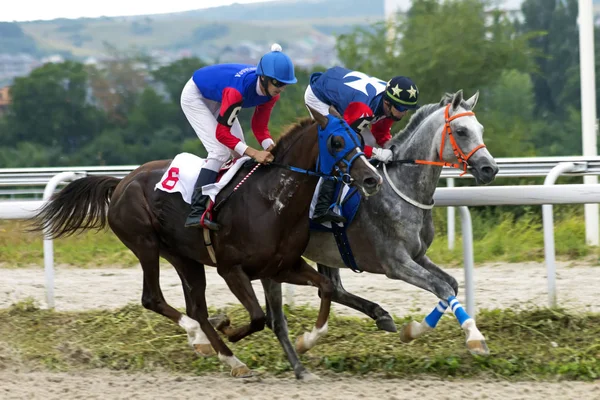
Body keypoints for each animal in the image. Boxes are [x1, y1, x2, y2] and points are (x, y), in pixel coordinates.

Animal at [30, 108, 382, 378]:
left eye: (358, 139)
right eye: (337, 141)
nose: (372, 178)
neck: (272, 201)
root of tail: (121, 183)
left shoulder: (283, 266)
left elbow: (325, 287)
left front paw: (307, 340)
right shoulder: (231, 268)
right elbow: (258, 317)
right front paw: (230, 328)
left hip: (184, 256)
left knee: (196, 307)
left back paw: (229, 357)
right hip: (145, 243)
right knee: (154, 299)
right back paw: (200, 338)